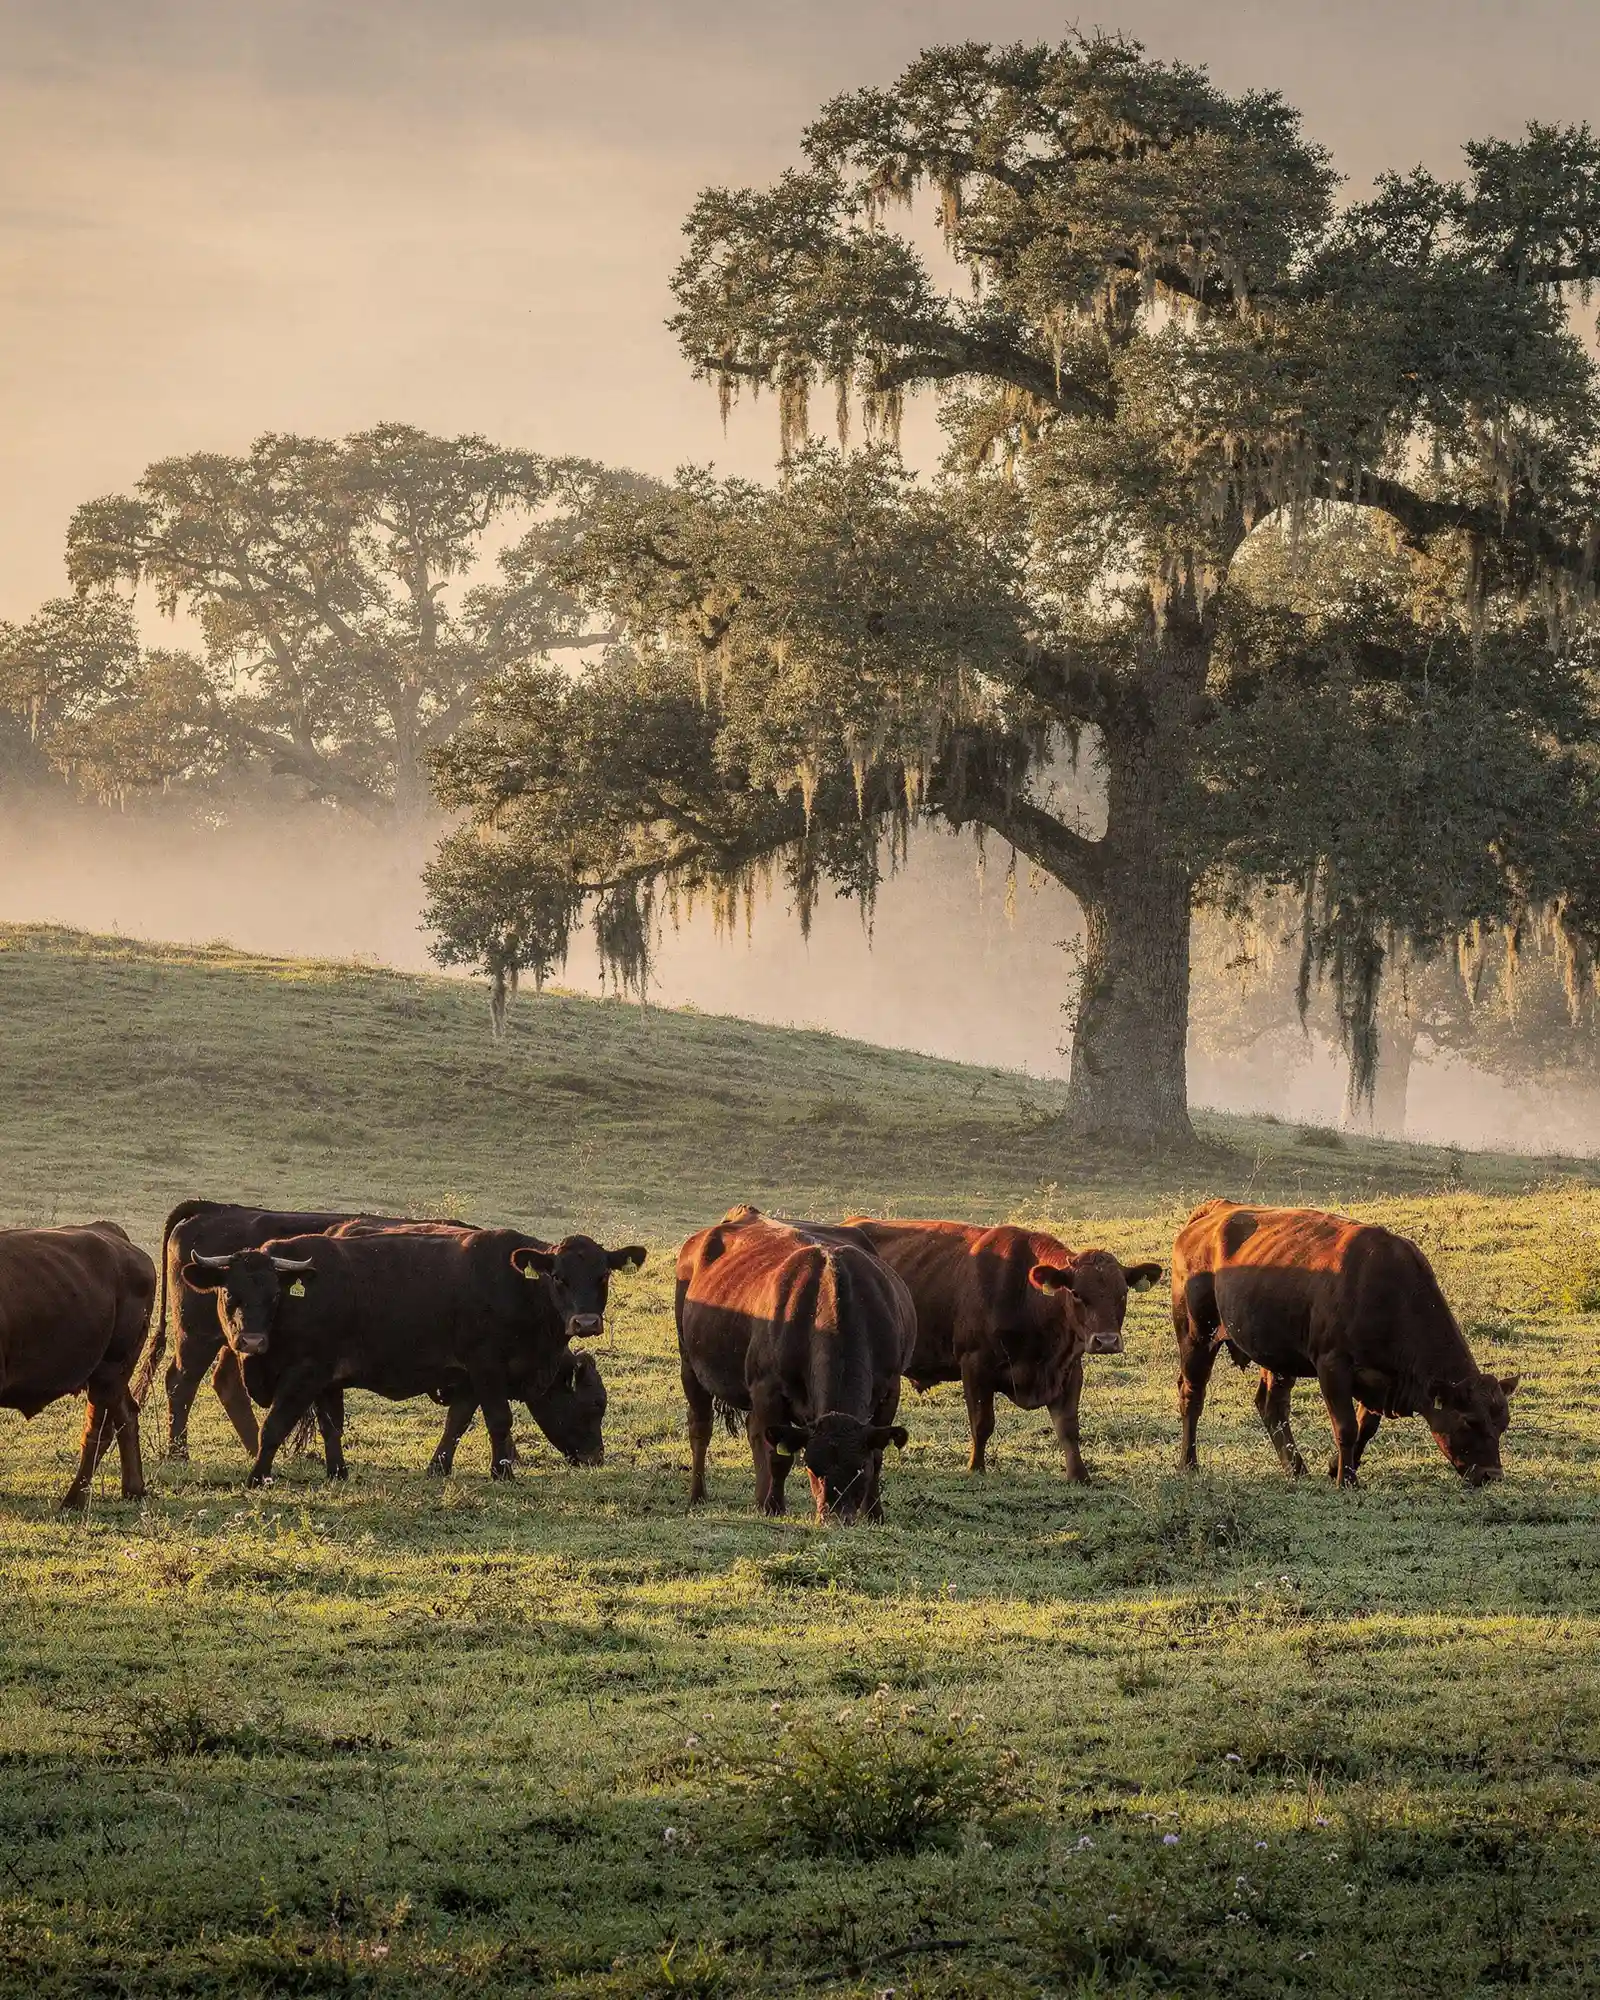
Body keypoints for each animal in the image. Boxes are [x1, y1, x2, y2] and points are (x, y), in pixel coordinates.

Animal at [0, 1223, 157, 1509]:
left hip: (109, 1371)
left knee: (98, 1432)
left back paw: (73, 1500)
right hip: (113, 1375)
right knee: (126, 1415)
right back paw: (133, 1489)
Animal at [142, 1201, 622, 1474]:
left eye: (603, 1276)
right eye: (595, 1404)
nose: (595, 1457)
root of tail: (209, 1209)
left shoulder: (465, 1375)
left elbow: (457, 1421)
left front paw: (439, 1466)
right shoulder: (485, 1368)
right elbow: (496, 1418)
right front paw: (504, 1466)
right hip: (199, 1338)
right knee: (182, 1384)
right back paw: (181, 1453)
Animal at [675, 1206, 916, 1522]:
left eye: (859, 1471)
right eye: (813, 1468)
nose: (835, 1517)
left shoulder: (890, 1389)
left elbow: (878, 1454)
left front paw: (874, 1512)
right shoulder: (768, 1389)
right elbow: (779, 1457)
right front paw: (774, 1506)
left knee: (754, 1430)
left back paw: (758, 1497)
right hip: (690, 1364)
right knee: (701, 1428)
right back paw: (698, 1494)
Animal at [844, 1218, 1161, 1481]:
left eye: (1122, 1293)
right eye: (1076, 1293)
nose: (1106, 1341)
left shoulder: (1069, 1370)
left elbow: (1068, 1428)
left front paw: (1079, 1475)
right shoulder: (974, 1365)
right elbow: (982, 1423)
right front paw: (976, 1467)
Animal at [1172, 1199, 1519, 1487]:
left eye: (1502, 1423)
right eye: (1469, 1421)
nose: (1492, 1475)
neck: (1388, 1294)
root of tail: (1216, 1211)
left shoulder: (1381, 1381)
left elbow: (1366, 1427)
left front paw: (1335, 1467)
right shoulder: (1332, 1366)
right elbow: (1346, 1426)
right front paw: (1346, 1480)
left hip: (1278, 1357)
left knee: (1273, 1407)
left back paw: (1297, 1469)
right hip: (1195, 1336)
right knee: (1193, 1395)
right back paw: (1189, 1464)